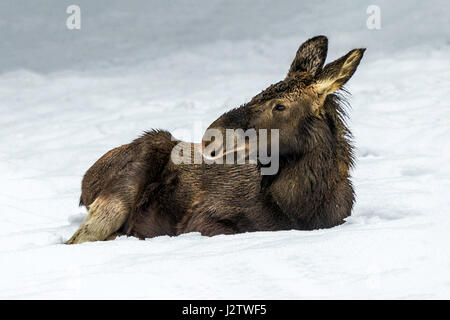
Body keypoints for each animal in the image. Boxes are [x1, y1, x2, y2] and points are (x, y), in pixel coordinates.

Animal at [65, 36, 364, 244]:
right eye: (259, 93)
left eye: (279, 106)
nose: (211, 137)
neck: (299, 207)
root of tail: (84, 186)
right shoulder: (202, 218)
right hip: (135, 170)